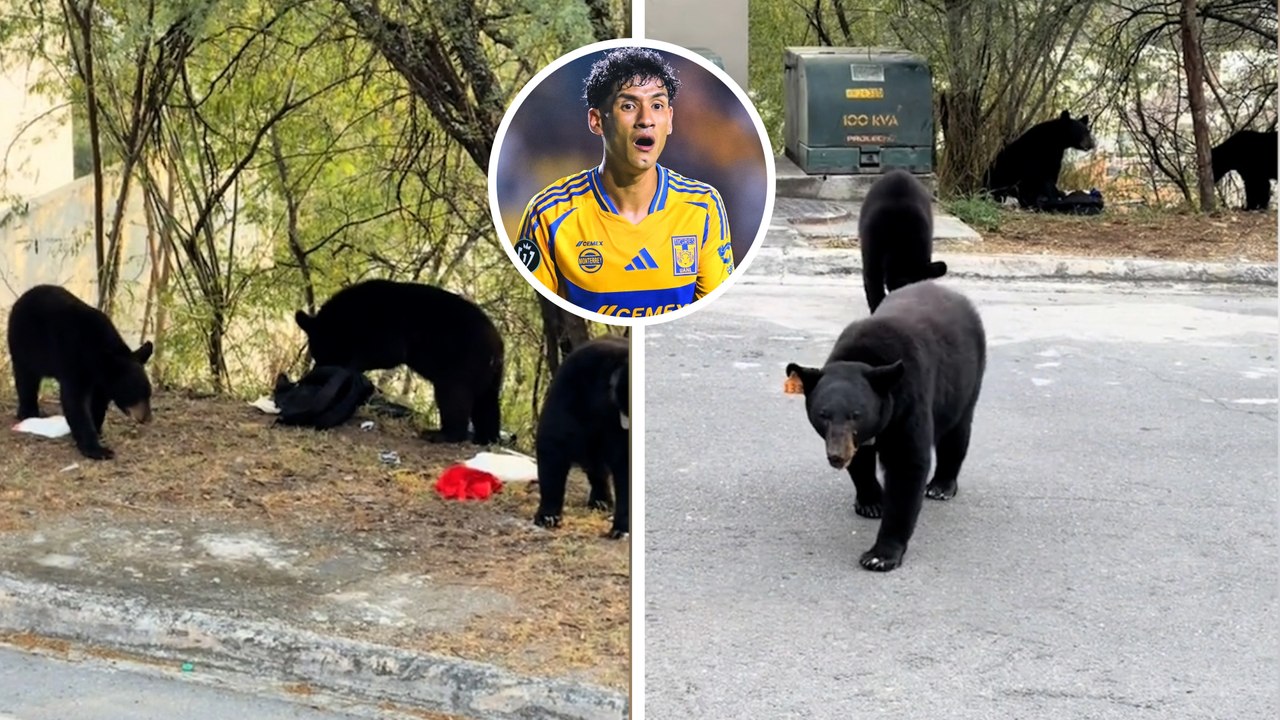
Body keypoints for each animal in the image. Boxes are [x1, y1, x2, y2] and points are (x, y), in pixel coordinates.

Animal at [6, 284, 154, 460]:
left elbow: (98, 402)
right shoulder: (74, 362)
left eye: (149, 394)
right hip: (24, 346)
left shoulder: (101, 381)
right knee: (26, 379)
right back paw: (28, 412)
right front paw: (97, 449)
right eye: (137, 395)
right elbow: (75, 402)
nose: (147, 418)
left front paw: (97, 429)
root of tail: (25, 295)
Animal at [294, 279, 505, 445]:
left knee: (453, 395)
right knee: (486, 403)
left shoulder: (387, 323)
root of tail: (497, 345)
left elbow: (387, 351)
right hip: (487, 374)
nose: (317, 370)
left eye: (326, 354)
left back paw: (443, 434)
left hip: (462, 360)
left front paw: (351, 366)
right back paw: (486, 437)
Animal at [784, 280, 986, 572]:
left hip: (967, 380)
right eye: (823, 415)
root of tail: (951, 291)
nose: (836, 456)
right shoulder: (855, 438)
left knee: (956, 433)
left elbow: (907, 464)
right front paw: (871, 502)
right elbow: (861, 461)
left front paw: (880, 555)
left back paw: (941, 486)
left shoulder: (909, 400)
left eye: (856, 414)